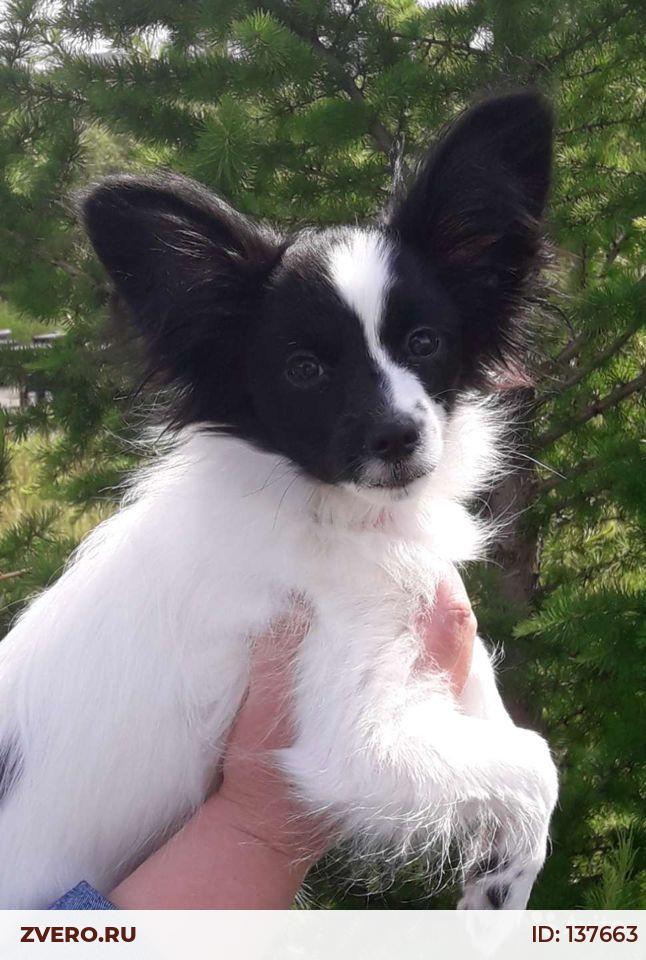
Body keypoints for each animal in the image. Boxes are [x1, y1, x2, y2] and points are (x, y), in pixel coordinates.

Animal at [0, 90, 558, 909]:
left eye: (424, 343)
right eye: (303, 370)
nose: (397, 437)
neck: (338, 514)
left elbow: (502, 723)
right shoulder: (346, 743)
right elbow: (533, 761)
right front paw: (497, 896)